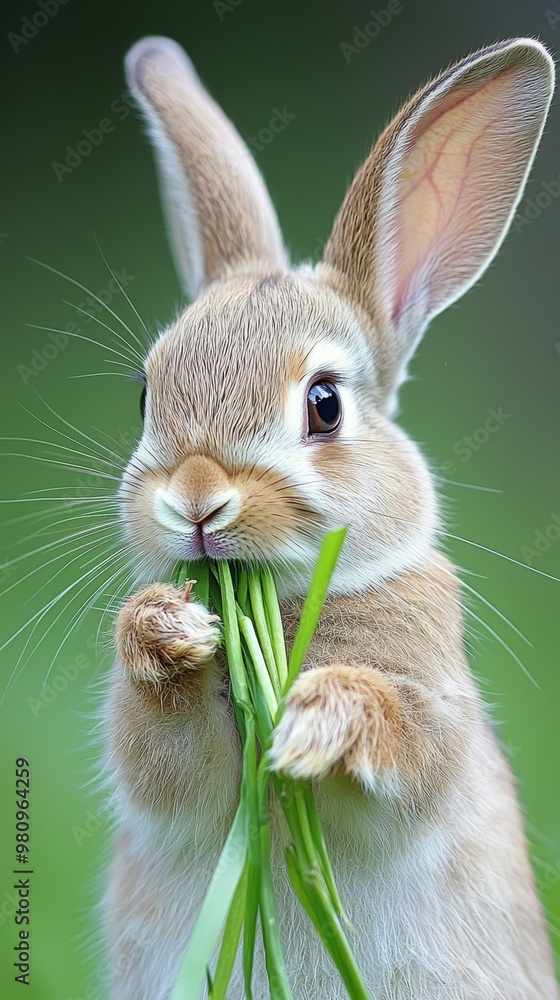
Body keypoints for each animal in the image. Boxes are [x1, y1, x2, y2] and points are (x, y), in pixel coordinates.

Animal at [103, 35, 559, 1000]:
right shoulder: (169, 778)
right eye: (146, 395)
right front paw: (165, 631)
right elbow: (164, 759)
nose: (195, 500)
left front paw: (317, 720)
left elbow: (409, 748)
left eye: (324, 404)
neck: (279, 601)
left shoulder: (430, 710)